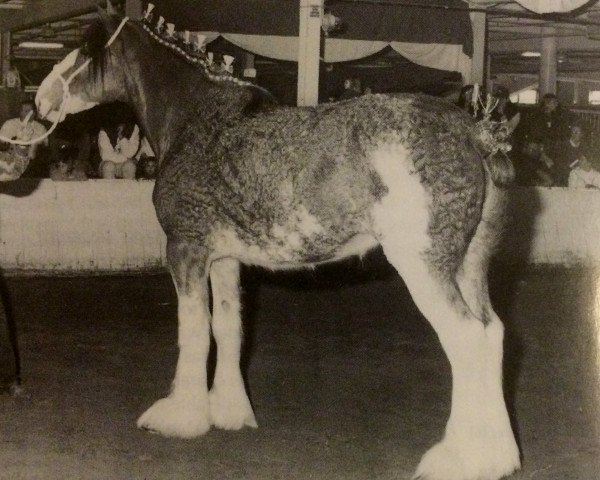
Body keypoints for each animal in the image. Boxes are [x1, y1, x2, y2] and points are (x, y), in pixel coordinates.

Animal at [34, 8, 520, 480]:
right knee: (492, 333)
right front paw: (229, 411)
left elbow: (193, 331)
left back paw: (457, 460)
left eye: (84, 48)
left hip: (424, 265)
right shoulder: (224, 259)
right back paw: (497, 457)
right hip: (469, 263)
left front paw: (181, 416)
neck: (196, 117)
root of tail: (476, 134)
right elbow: (227, 328)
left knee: (467, 338)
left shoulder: (186, 248)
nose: (41, 100)